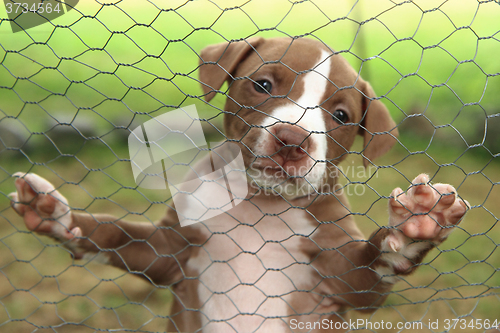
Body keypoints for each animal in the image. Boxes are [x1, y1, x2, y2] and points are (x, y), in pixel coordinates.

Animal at [8, 37, 468, 330]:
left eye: (341, 115)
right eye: (262, 84)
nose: (292, 140)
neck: (260, 204)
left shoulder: (339, 277)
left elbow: (374, 265)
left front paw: (417, 223)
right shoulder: (170, 251)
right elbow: (115, 233)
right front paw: (54, 213)